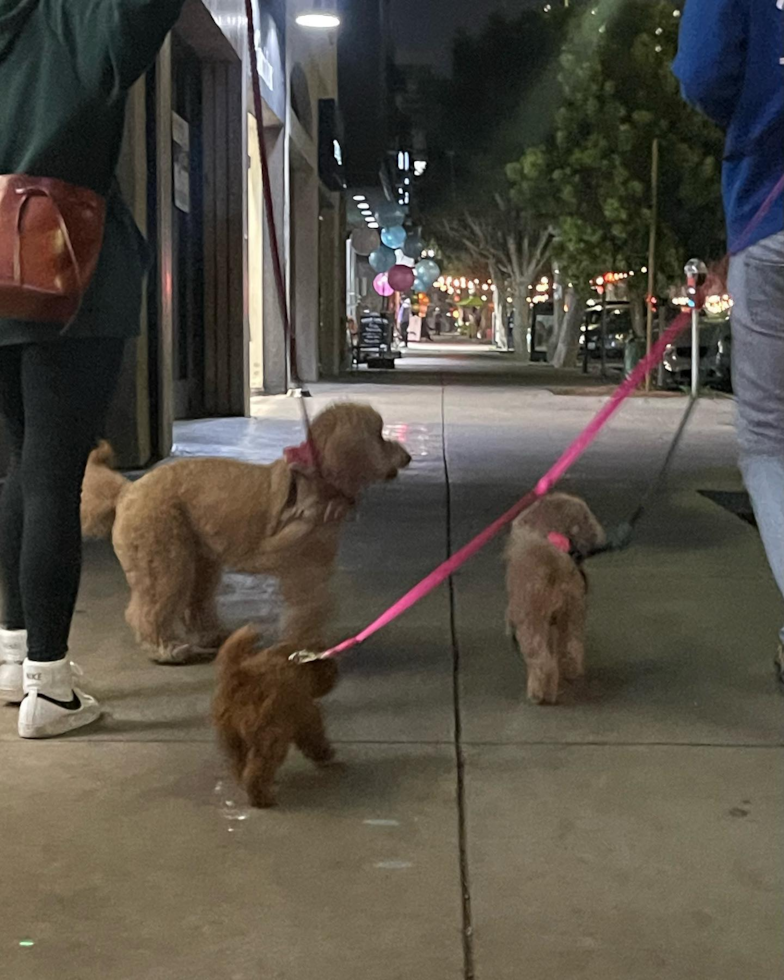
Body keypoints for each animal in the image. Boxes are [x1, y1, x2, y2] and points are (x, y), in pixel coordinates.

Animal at [80, 402, 414, 664]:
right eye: (378, 435)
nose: (408, 457)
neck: (317, 480)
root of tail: (128, 491)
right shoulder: (301, 567)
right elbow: (308, 606)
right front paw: (302, 646)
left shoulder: (315, 566)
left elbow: (315, 604)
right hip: (165, 561)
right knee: (149, 608)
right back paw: (166, 649)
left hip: (200, 561)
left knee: (195, 603)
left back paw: (212, 635)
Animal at [213, 632, 338, 808]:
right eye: (330, 666)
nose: (336, 674)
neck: (297, 663)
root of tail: (238, 677)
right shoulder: (306, 714)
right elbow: (315, 738)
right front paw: (325, 754)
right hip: (269, 736)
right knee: (259, 769)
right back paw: (262, 798)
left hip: (233, 738)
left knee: (239, 764)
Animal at [502, 498, 608, 704]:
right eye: (586, 516)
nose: (600, 535)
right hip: (571, 612)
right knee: (570, 649)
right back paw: (568, 675)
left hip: (533, 622)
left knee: (545, 662)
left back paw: (539, 694)